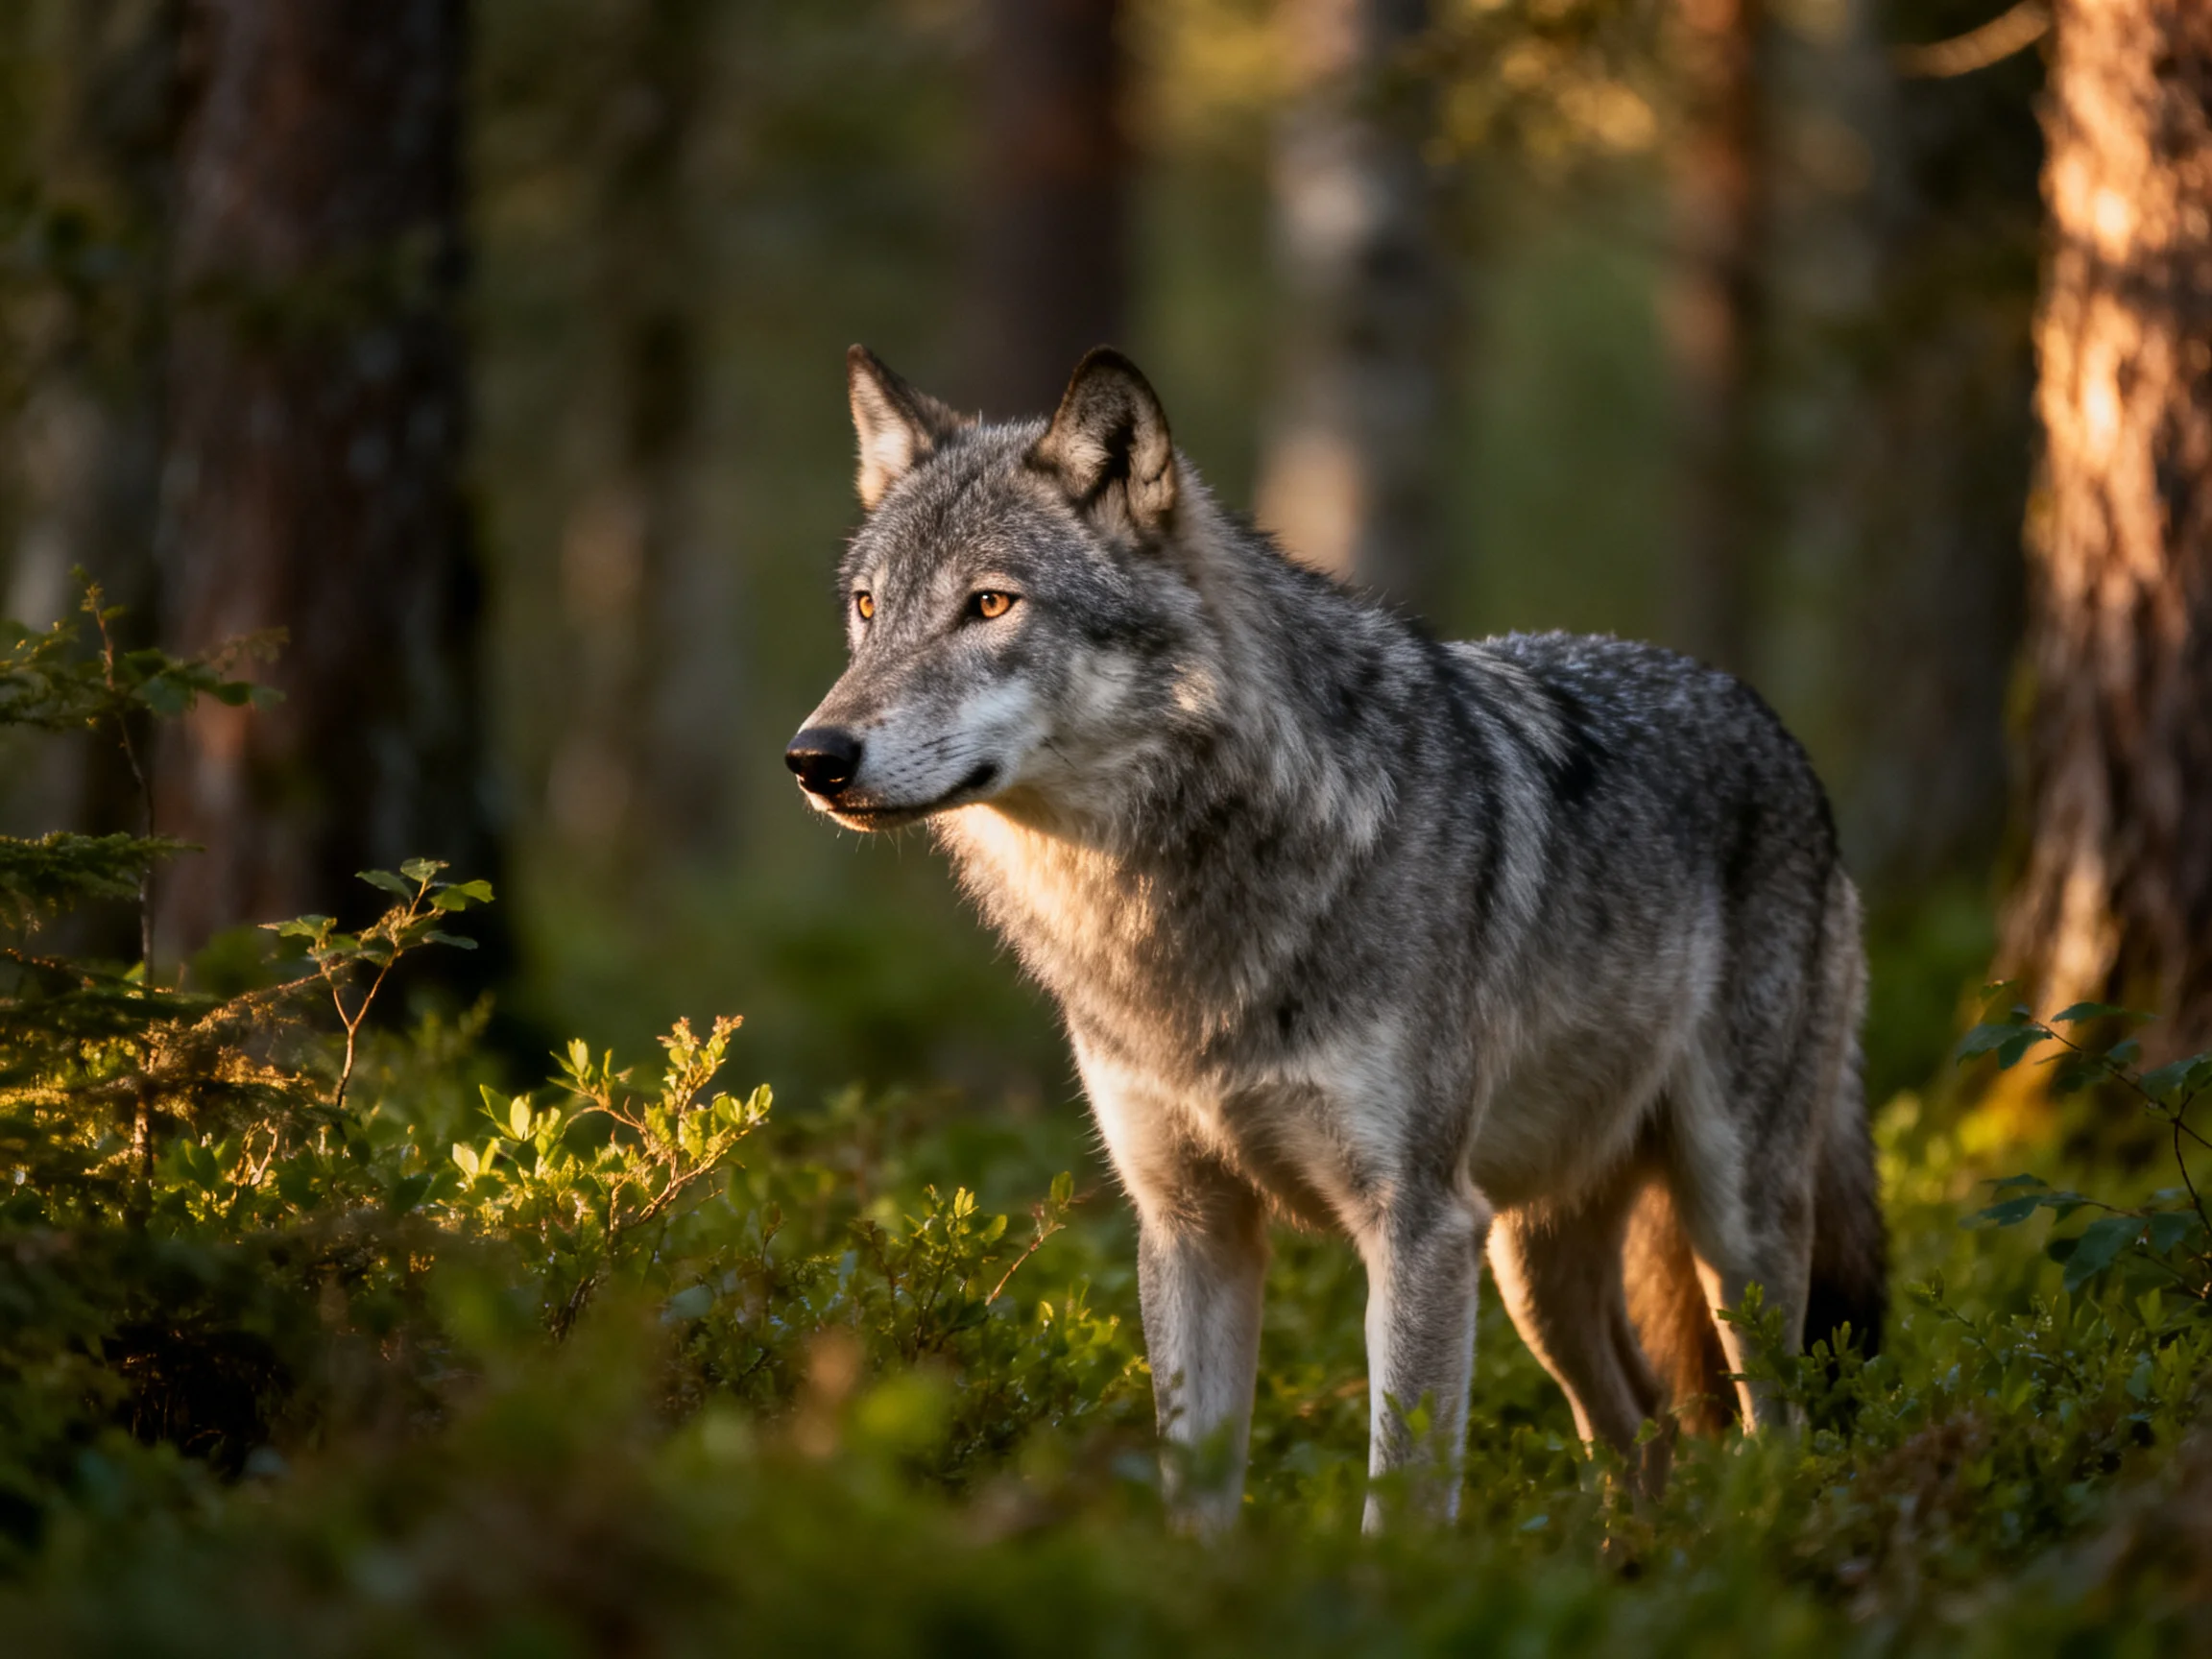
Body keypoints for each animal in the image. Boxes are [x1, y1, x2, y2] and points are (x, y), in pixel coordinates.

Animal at [785, 344, 1886, 1531]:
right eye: (868, 608)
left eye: (989, 604)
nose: (814, 756)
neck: (1170, 915)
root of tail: (1771, 724)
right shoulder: (1191, 1228)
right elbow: (1196, 1502)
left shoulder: (1417, 1228)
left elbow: (1398, 1505)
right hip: (1531, 1268)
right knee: (1640, 1432)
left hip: (1729, 1231)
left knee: (1776, 1430)